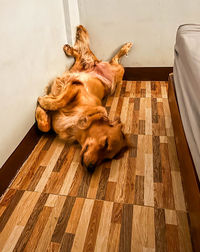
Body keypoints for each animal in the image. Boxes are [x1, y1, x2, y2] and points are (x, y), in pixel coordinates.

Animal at [35, 24, 133, 172]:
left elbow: (45, 126)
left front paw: (42, 109)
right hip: (116, 70)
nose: (91, 168)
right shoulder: (77, 86)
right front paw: (44, 103)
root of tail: (98, 63)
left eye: (107, 158)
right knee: (96, 54)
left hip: (90, 69)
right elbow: (58, 103)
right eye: (106, 143)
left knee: (84, 55)